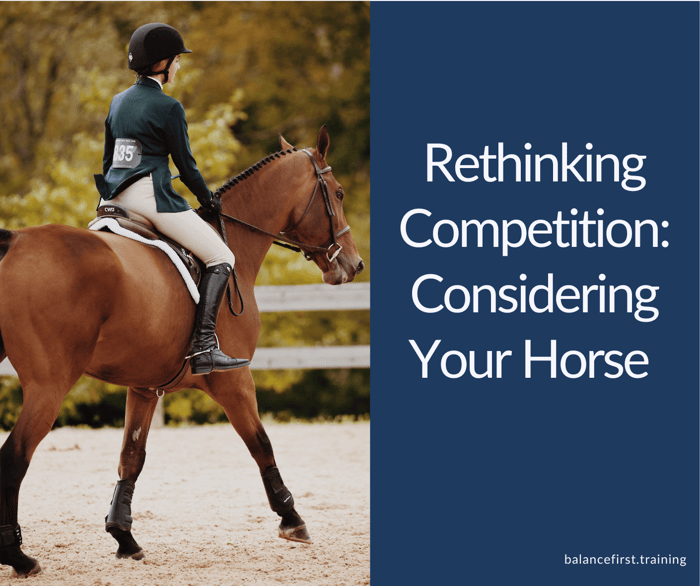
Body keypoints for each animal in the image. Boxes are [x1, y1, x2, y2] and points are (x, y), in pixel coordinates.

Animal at [0, 125, 363, 576]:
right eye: (338, 192)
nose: (353, 265)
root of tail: (16, 240)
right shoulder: (233, 379)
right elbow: (260, 443)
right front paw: (292, 519)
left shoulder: (144, 387)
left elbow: (131, 456)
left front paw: (124, 537)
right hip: (48, 385)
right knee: (13, 458)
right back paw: (17, 556)